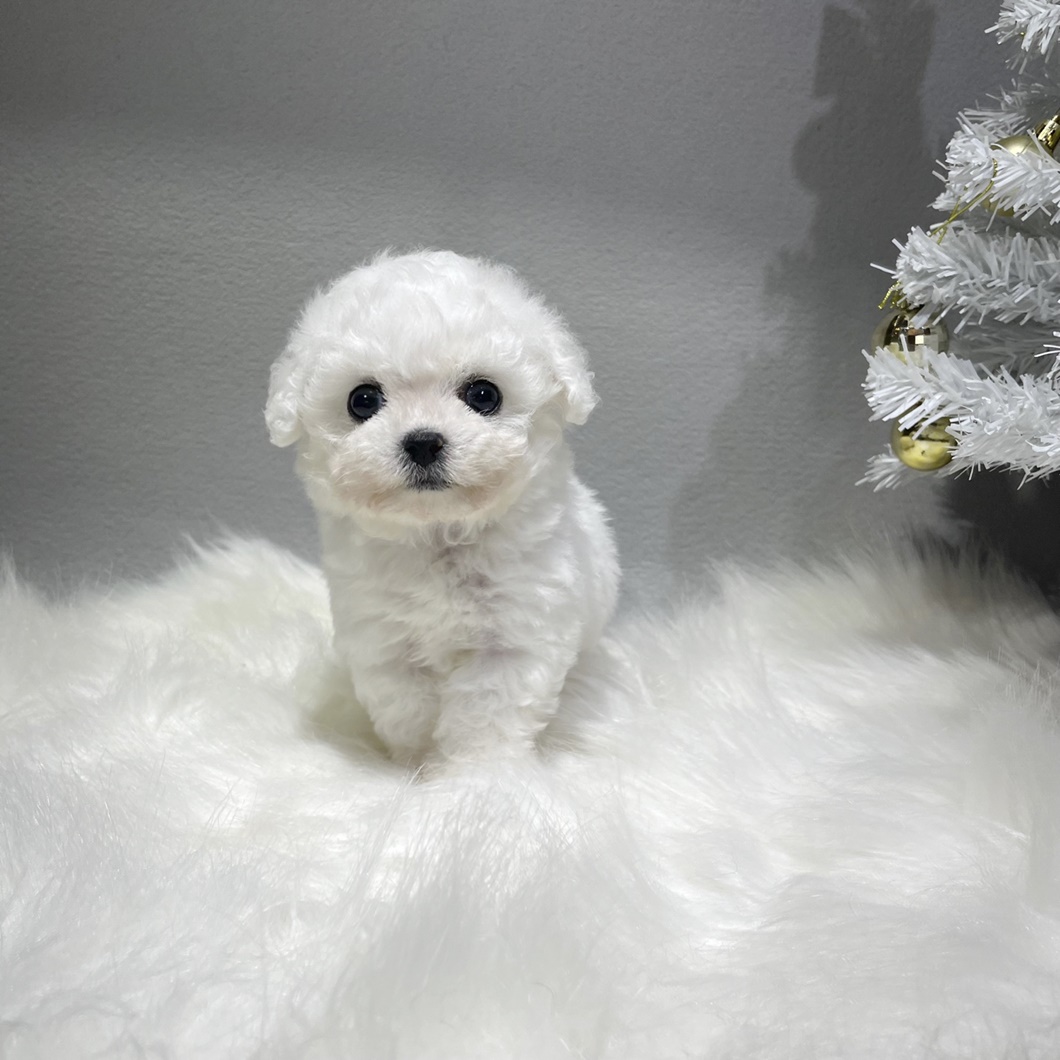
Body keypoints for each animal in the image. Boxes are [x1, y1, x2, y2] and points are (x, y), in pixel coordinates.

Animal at [266, 250, 619, 768]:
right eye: (362, 400)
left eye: (484, 395)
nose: (423, 441)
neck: (438, 534)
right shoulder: (384, 644)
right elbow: (408, 709)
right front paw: (416, 766)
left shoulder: (512, 642)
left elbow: (485, 715)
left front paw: (475, 774)